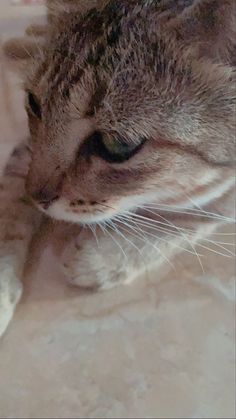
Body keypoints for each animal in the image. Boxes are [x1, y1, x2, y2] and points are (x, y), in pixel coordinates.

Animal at [0, 0, 236, 336]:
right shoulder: (27, 153)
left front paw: (104, 258)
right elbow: (8, 214)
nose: (37, 197)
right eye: (34, 103)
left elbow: (200, 212)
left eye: (117, 145)